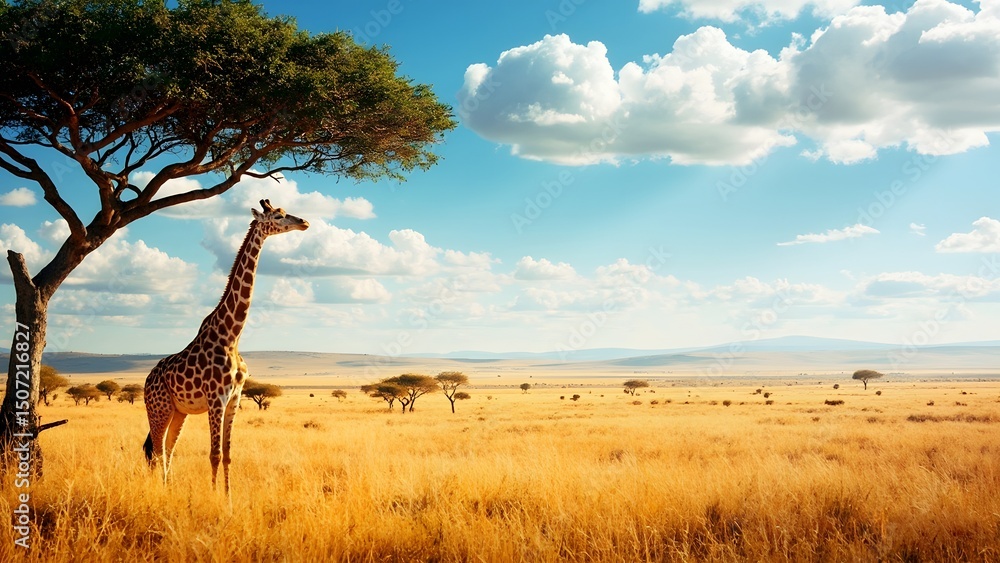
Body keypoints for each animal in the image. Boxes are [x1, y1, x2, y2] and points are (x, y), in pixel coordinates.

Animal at [142, 199, 309, 495]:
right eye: (278, 216)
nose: (304, 222)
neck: (232, 336)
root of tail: (146, 381)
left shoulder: (235, 397)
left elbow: (229, 454)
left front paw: (228, 497)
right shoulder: (216, 398)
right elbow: (215, 454)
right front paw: (213, 496)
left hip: (178, 411)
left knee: (168, 448)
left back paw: (169, 488)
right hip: (158, 407)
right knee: (157, 449)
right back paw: (161, 489)